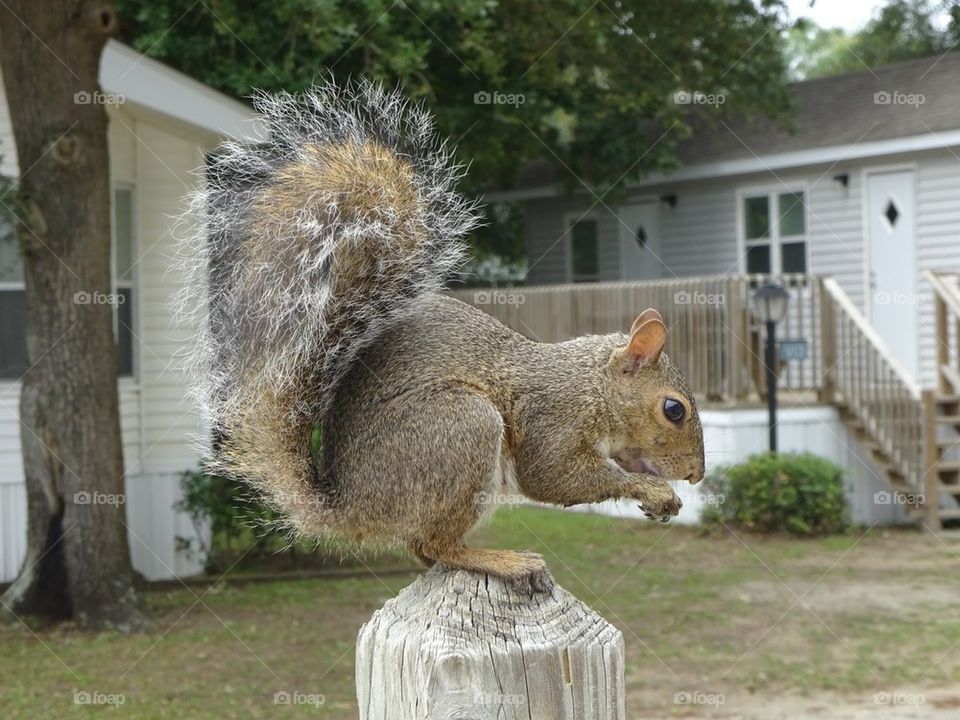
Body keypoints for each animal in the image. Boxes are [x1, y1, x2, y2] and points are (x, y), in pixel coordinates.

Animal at [178, 80, 705, 595]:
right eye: (673, 409)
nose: (696, 474)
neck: (591, 386)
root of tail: (349, 507)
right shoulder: (553, 417)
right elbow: (554, 478)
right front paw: (650, 490)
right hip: (460, 429)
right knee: (434, 545)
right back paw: (502, 561)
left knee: (426, 550)